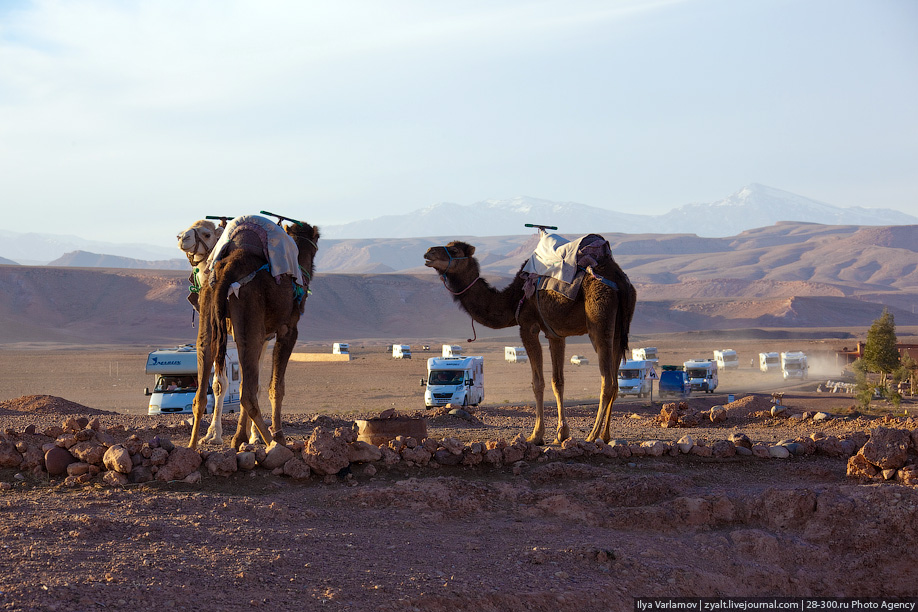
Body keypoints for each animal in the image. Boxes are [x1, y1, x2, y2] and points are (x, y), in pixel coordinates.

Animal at [189, 215, 322, 450]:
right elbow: (275, 386)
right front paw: (278, 435)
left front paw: (240, 437)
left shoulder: (255, 334)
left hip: (210, 308)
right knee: (248, 395)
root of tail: (228, 269)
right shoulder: (287, 330)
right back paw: (274, 444)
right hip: (248, 307)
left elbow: (246, 381)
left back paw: (192, 447)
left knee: (202, 389)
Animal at [426, 235, 636, 444]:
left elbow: (538, 382)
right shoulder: (555, 334)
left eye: (454, 251)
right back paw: (605, 435)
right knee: (615, 382)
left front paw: (536, 435)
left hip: (599, 322)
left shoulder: (528, 327)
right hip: (618, 330)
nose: (428, 252)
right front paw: (561, 434)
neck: (512, 300)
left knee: (607, 381)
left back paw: (592, 436)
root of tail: (621, 281)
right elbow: (557, 381)